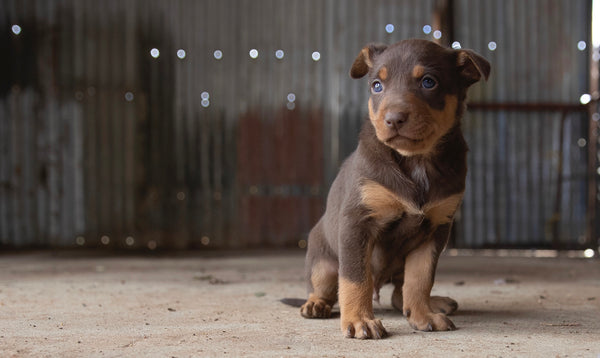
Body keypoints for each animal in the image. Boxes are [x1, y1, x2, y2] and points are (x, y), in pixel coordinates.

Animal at [298, 39, 490, 338]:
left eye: (428, 82)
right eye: (377, 86)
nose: (393, 119)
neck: (416, 160)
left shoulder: (435, 230)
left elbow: (420, 279)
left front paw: (423, 315)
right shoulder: (357, 222)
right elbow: (355, 278)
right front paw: (359, 320)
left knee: (398, 293)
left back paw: (435, 303)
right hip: (322, 260)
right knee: (326, 286)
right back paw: (315, 304)